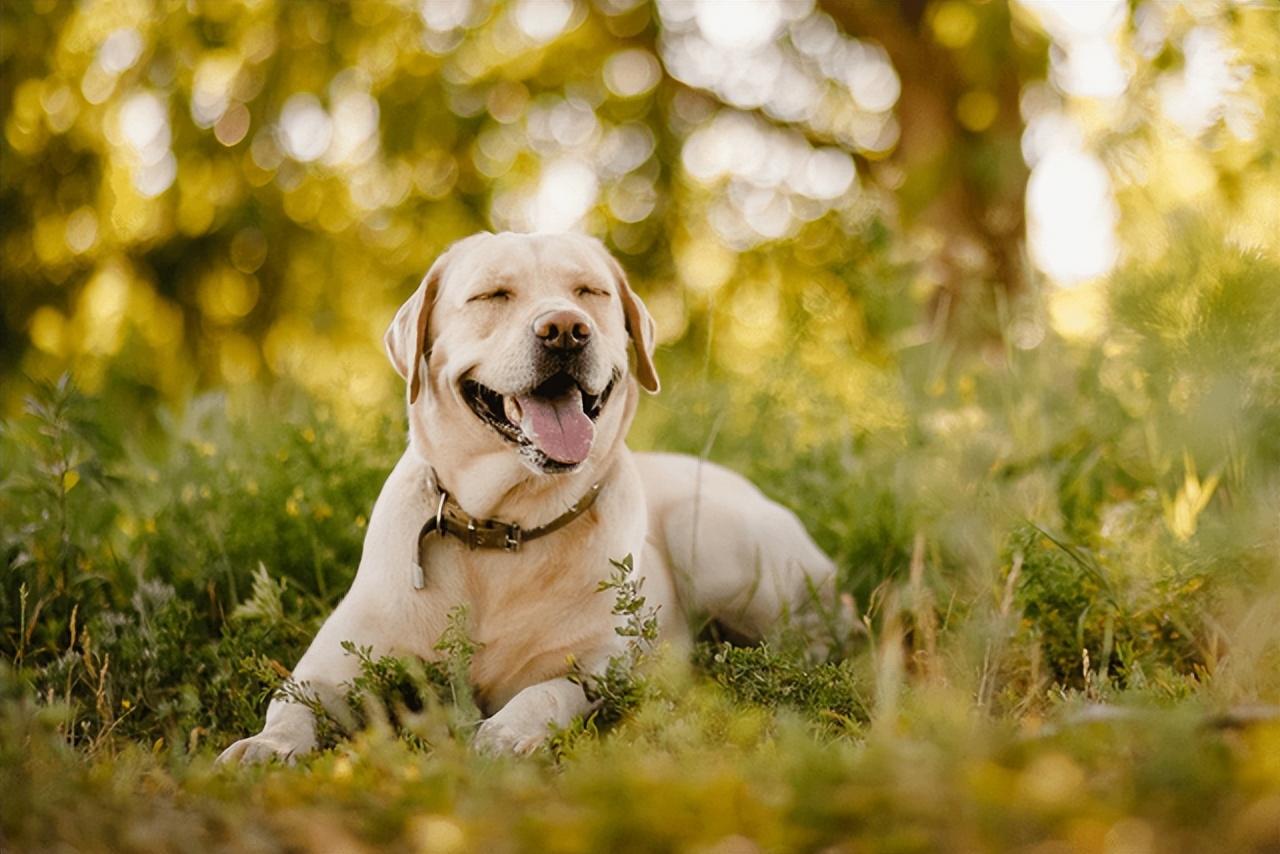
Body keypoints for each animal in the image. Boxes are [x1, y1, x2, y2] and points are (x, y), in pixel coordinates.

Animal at [217, 229, 839, 763]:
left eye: (589, 292)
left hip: (712, 536)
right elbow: (291, 703)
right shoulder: (331, 664)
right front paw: (265, 747)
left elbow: (546, 692)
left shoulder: (597, 665)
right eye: (493, 295)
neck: (502, 527)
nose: (565, 329)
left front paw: (506, 732)